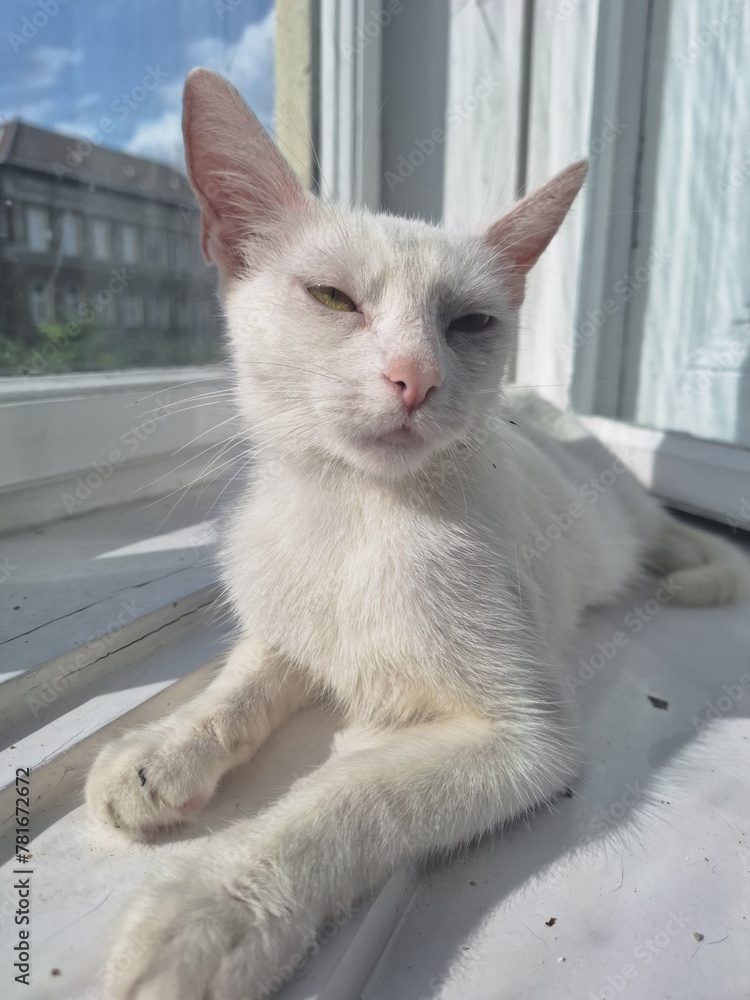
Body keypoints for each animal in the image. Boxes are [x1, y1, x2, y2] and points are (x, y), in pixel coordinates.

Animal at [86, 70, 748, 1000]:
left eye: (470, 323)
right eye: (332, 297)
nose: (416, 376)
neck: (354, 514)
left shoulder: (525, 741)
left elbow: (356, 792)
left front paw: (212, 913)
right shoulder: (285, 618)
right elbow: (246, 676)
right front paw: (163, 751)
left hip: (622, 501)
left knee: (668, 536)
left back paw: (685, 572)